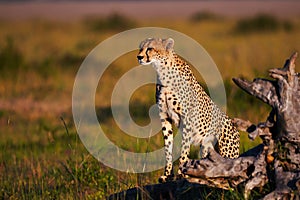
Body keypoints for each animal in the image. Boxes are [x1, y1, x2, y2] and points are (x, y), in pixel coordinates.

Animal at [137, 38, 240, 183]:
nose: (139, 57)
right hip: (206, 148)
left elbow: (184, 149)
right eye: (140, 48)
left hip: (225, 149)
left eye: (150, 48)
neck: (162, 71)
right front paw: (167, 175)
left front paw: (181, 173)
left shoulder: (187, 119)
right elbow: (168, 148)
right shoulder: (165, 118)